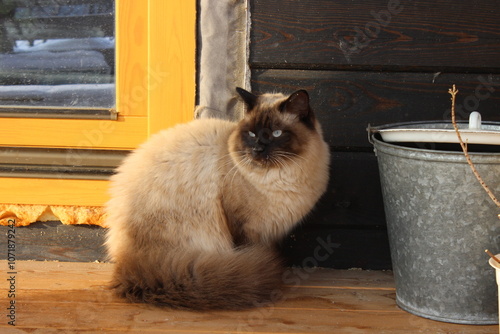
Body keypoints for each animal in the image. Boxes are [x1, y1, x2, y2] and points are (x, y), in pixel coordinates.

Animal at [105, 87, 330, 310]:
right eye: (251, 134)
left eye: (276, 133)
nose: (257, 149)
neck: (281, 177)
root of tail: (126, 262)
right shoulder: (244, 226)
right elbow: (251, 250)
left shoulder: (269, 230)